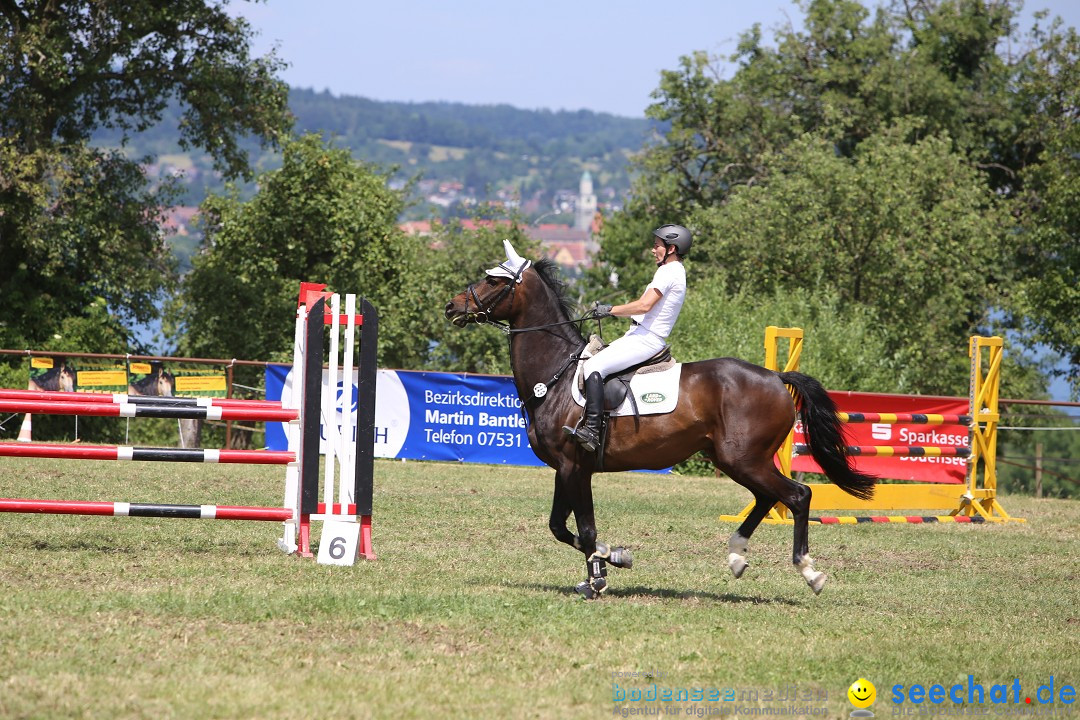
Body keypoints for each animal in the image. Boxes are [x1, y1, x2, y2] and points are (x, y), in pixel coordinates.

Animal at [442, 245, 872, 600]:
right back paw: (737, 555)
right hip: (734, 459)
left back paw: (809, 571)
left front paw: (599, 576)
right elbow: (560, 527)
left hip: (743, 459)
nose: (451, 307)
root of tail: (775, 377)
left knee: (797, 496)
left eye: (494, 280)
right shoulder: (564, 468)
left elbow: (585, 528)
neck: (556, 375)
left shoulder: (575, 466)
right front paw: (611, 558)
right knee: (768, 497)